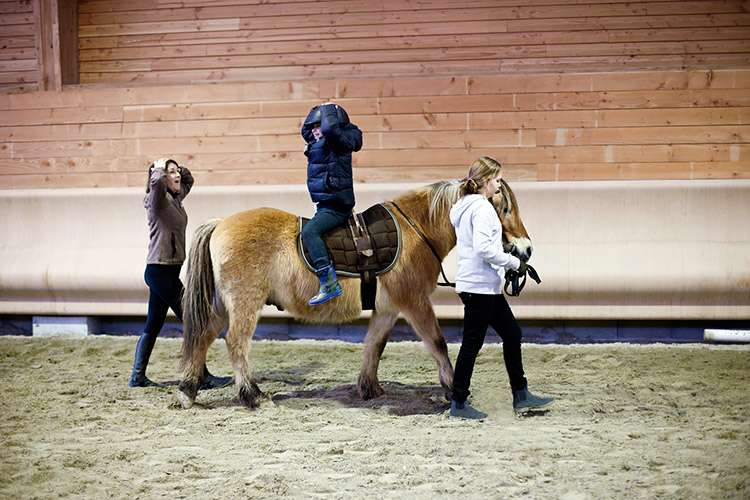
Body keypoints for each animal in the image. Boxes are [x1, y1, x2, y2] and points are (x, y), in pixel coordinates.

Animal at [177, 178, 532, 408]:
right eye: (502, 207)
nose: (526, 249)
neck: (416, 231)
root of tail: (221, 223)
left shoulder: (388, 308)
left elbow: (374, 344)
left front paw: (369, 387)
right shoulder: (414, 301)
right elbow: (437, 342)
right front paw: (450, 388)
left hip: (222, 305)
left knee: (203, 337)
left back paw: (188, 390)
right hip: (244, 303)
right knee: (235, 343)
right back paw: (252, 395)